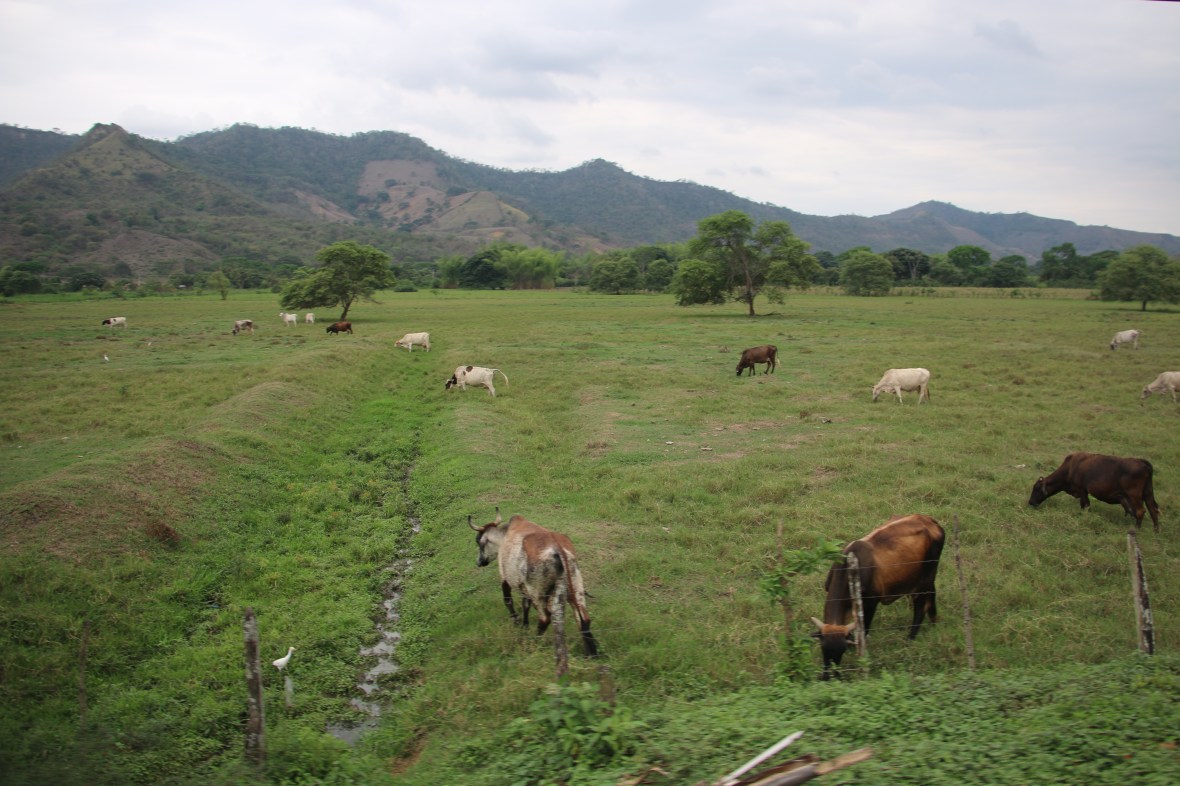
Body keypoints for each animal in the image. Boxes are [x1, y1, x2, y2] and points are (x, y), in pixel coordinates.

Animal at [469, 508, 599, 657]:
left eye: (478, 542)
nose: (479, 562)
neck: (503, 537)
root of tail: (559, 550)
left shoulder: (505, 578)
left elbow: (508, 601)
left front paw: (516, 621)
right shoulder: (524, 586)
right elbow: (525, 605)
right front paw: (525, 625)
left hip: (538, 593)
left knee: (545, 618)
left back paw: (534, 643)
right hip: (575, 587)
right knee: (583, 617)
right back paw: (591, 652)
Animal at [811, 514, 944, 680]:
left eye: (841, 650)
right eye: (823, 648)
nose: (828, 677)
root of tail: (930, 520)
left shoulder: (870, 603)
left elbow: (865, 630)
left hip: (924, 580)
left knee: (920, 609)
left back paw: (910, 639)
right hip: (927, 581)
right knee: (932, 597)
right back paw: (933, 624)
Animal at [1028, 452, 1161, 532]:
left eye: (1036, 489)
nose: (1030, 502)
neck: (1070, 467)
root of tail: (1142, 462)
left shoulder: (1082, 490)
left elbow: (1085, 505)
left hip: (1135, 496)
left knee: (1141, 511)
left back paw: (1137, 529)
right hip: (1148, 494)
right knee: (1153, 512)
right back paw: (1156, 531)